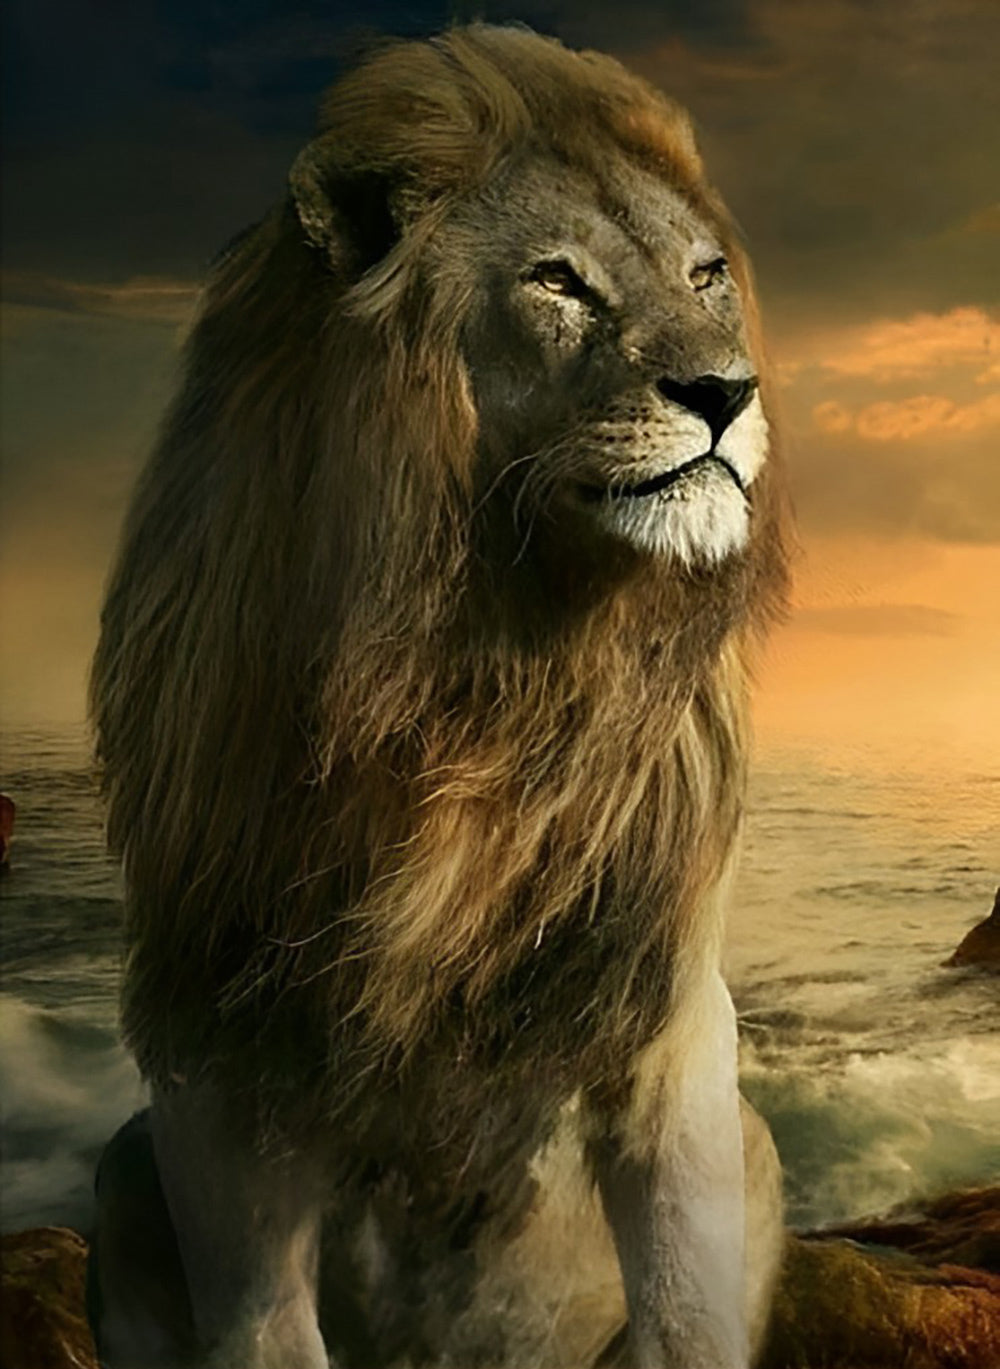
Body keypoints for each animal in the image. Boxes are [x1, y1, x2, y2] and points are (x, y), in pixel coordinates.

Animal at [87, 23, 790, 1369]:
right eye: (558, 281)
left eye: (705, 274)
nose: (727, 394)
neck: (482, 662)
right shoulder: (215, 1046)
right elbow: (263, 1326)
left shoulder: (667, 1019)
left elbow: (685, 1302)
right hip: (118, 1171)